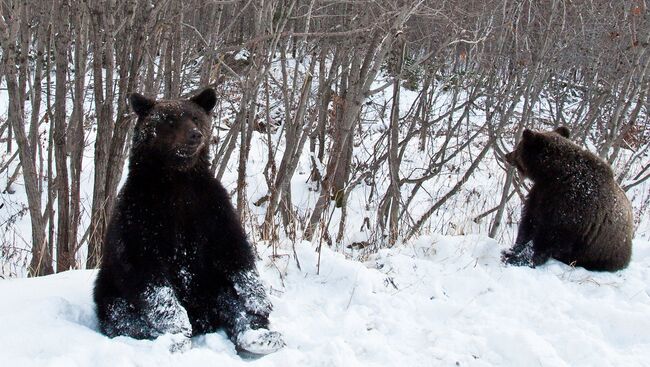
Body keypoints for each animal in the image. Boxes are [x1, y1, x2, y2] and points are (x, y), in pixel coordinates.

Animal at [92, 87, 282, 356]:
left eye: (195, 117)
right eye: (169, 121)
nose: (195, 135)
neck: (178, 179)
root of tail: (205, 320)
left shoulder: (210, 207)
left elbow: (234, 251)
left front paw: (259, 300)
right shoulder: (140, 215)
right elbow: (147, 274)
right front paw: (176, 325)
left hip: (212, 285)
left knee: (232, 300)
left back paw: (260, 336)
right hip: (109, 286)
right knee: (119, 314)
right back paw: (170, 339)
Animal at [498, 128, 632, 272]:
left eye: (519, 147)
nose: (507, 155)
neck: (553, 174)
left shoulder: (571, 207)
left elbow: (547, 236)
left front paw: (522, 258)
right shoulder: (540, 195)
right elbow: (528, 223)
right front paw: (511, 251)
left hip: (604, 251)